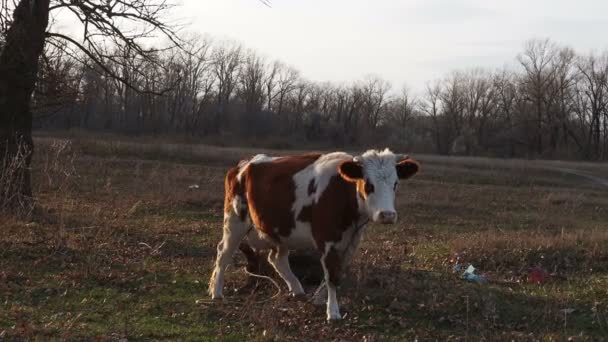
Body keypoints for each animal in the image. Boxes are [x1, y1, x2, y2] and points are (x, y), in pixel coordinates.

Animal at [208, 149, 418, 320]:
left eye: (395, 183)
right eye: (368, 184)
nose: (387, 215)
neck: (342, 192)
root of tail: (243, 164)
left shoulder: (351, 242)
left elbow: (336, 273)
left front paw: (319, 299)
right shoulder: (327, 240)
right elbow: (331, 276)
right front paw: (332, 311)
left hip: (282, 231)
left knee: (277, 259)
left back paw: (297, 289)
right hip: (235, 221)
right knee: (224, 253)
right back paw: (217, 291)